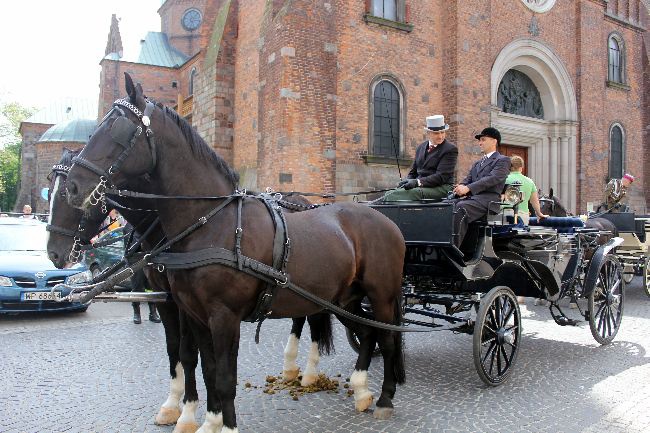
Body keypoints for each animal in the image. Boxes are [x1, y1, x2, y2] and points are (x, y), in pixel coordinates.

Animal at [62, 73, 404, 428]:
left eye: (116, 128)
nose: (73, 186)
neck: (213, 223)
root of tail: (383, 218)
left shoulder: (224, 315)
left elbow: (224, 376)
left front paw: (221, 425)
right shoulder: (193, 312)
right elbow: (206, 368)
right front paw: (207, 421)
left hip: (381, 295)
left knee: (388, 338)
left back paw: (384, 397)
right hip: (344, 298)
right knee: (368, 333)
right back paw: (361, 389)